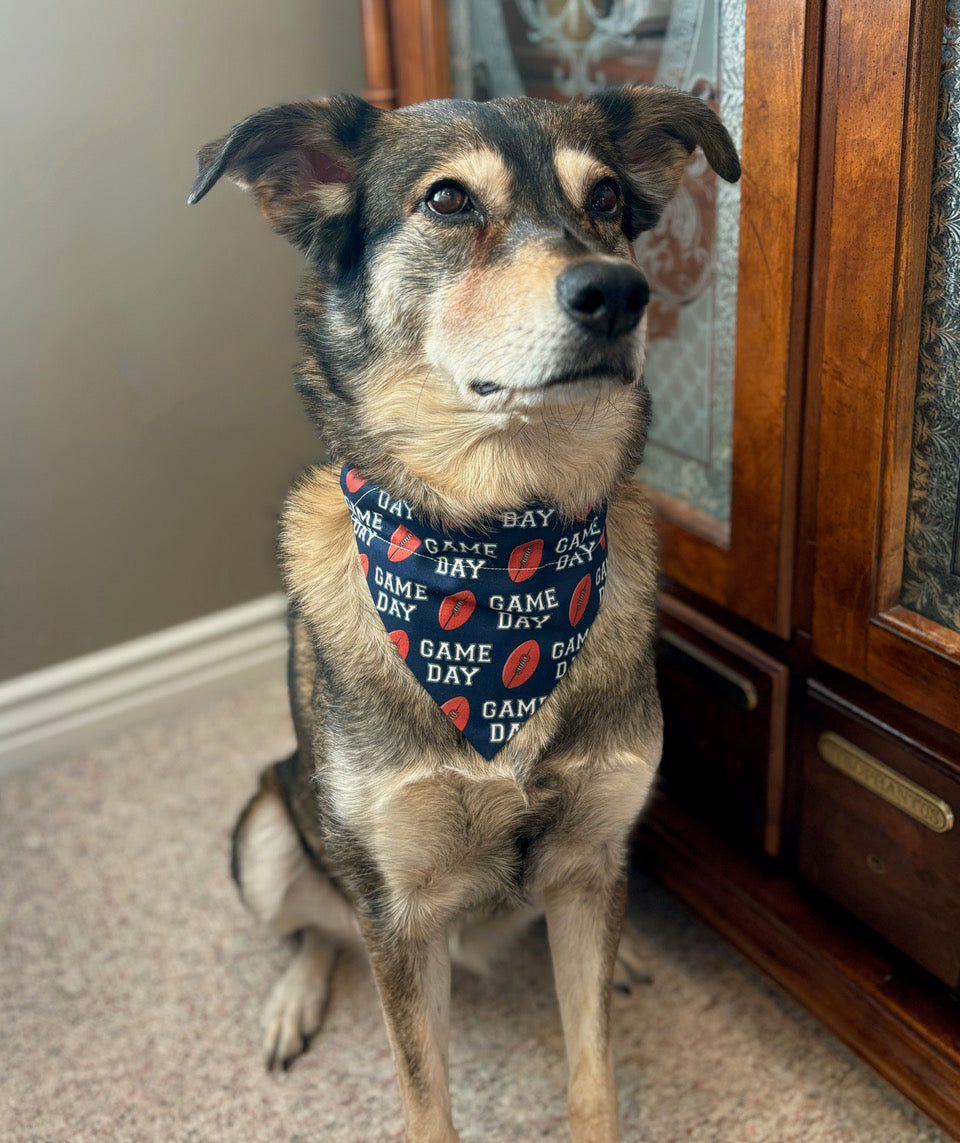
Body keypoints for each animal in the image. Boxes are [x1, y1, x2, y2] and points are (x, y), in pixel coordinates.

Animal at [189, 91, 740, 1143]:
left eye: (607, 199)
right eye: (447, 200)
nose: (620, 294)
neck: (501, 545)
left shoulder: (591, 849)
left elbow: (593, 1067)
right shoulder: (398, 910)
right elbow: (424, 1091)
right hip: (268, 836)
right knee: (317, 925)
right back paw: (293, 1000)